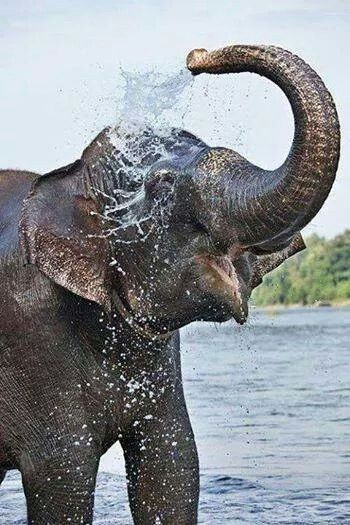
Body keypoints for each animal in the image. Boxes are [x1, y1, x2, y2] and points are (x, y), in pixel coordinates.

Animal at [0, 45, 340, 524]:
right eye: (160, 185)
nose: (196, 56)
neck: (66, 180)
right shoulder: (30, 336)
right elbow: (62, 473)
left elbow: (171, 466)